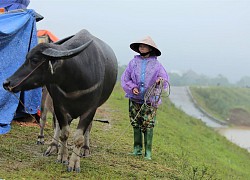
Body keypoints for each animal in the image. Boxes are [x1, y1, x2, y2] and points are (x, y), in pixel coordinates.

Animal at [2, 29, 118, 172]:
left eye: (35, 60)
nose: (6, 83)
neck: (75, 82)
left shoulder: (90, 109)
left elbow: (79, 137)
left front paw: (74, 163)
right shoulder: (59, 106)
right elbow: (64, 133)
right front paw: (62, 156)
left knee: (88, 128)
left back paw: (85, 149)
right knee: (55, 124)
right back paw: (53, 146)